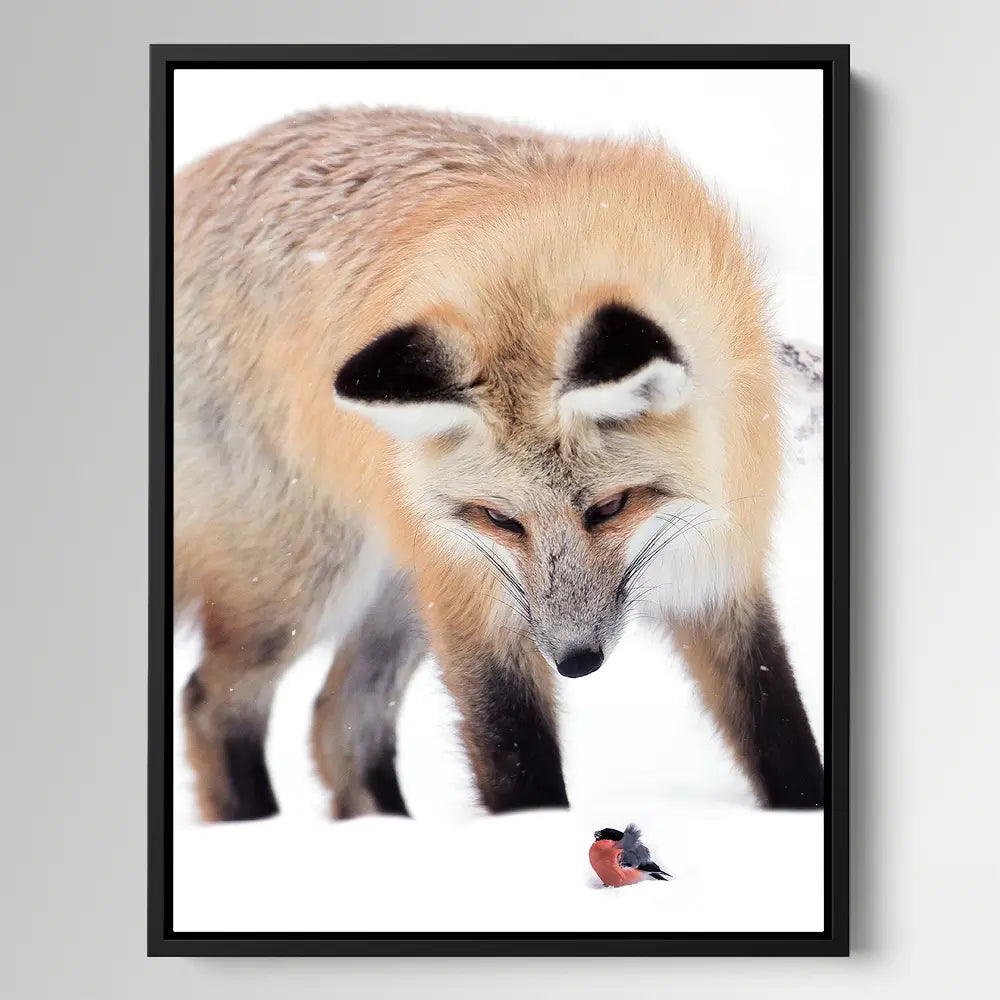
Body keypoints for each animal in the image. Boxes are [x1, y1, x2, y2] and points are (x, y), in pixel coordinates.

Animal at [173, 106, 824, 822]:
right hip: (305, 585)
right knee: (213, 702)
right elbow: (516, 760)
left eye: (610, 507)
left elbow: (780, 735)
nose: (576, 661)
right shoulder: (479, 608)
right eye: (500, 518)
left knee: (337, 720)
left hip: (397, 592)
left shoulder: (720, 578)